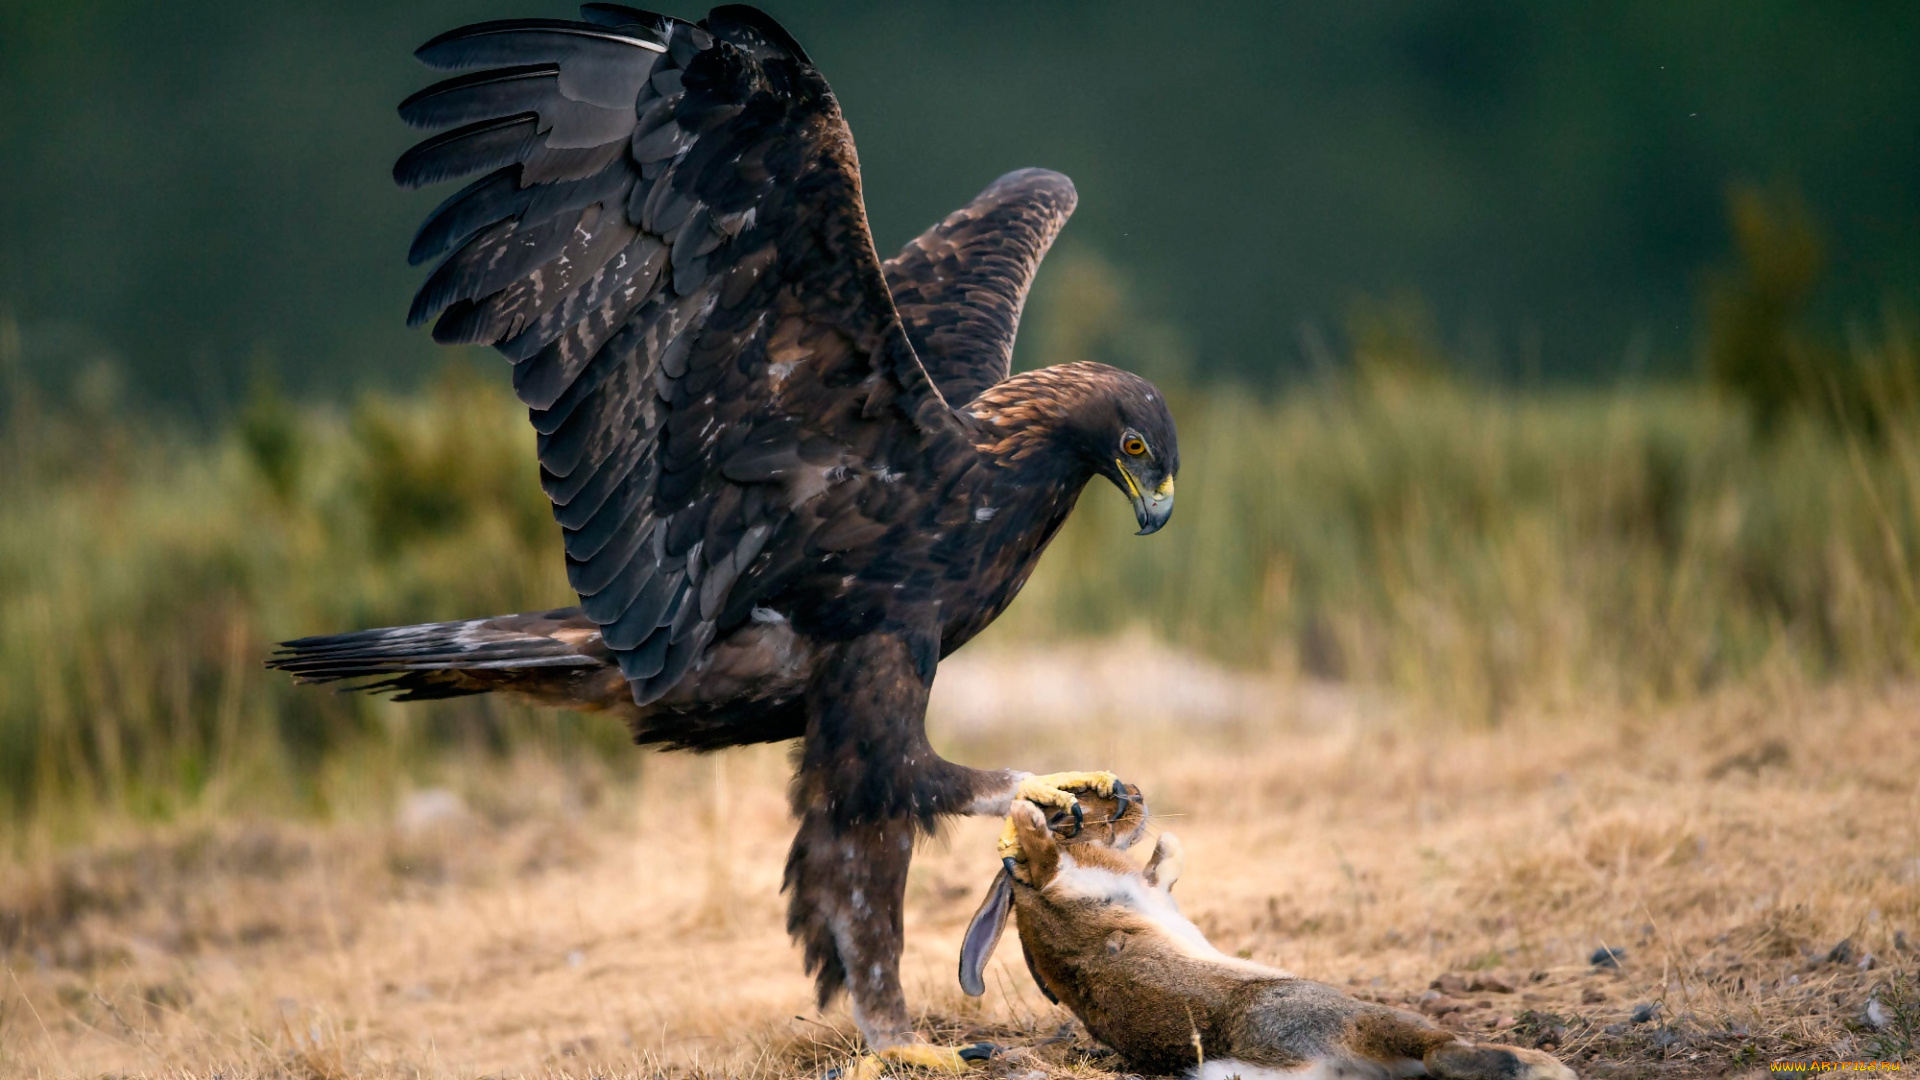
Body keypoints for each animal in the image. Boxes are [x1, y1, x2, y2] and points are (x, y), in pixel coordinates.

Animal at [961, 801, 1575, 1080]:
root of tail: (1303, 1062)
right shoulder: (1096, 886)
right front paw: (1026, 816)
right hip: (1348, 1012)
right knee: (1440, 1047)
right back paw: (1544, 1066)